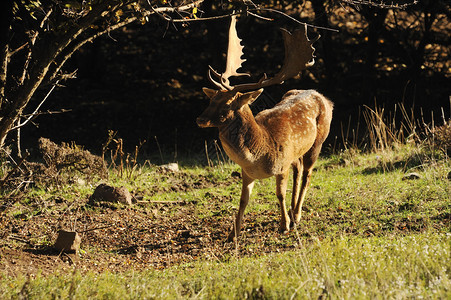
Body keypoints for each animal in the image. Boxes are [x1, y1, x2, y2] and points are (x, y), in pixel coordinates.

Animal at [196, 16, 334, 241]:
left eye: (227, 104)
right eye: (211, 100)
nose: (200, 119)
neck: (258, 155)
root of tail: (325, 98)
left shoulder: (282, 164)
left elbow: (279, 194)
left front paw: (284, 225)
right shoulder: (246, 172)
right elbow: (243, 200)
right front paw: (233, 234)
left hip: (318, 141)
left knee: (308, 173)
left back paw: (296, 215)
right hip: (296, 152)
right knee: (299, 168)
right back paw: (294, 213)